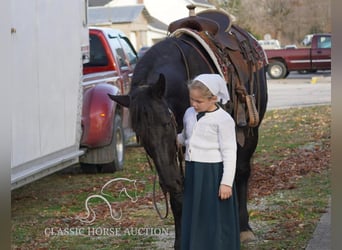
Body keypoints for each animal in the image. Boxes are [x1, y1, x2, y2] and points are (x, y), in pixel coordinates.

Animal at [109, 9, 268, 248]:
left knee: (241, 170)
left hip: (251, 128)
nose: (168, 182)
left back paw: (244, 228)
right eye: (140, 135)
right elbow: (179, 195)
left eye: (167, 123)